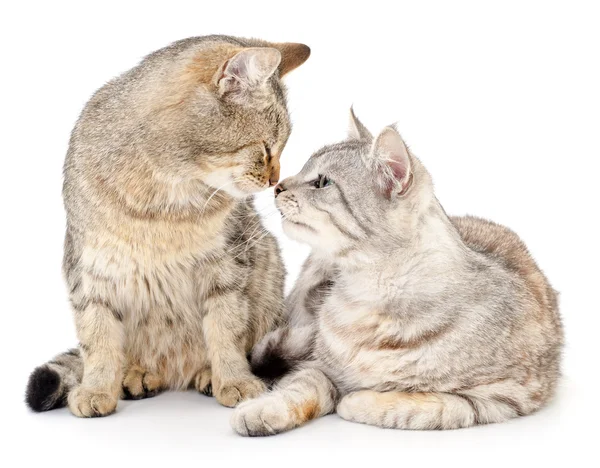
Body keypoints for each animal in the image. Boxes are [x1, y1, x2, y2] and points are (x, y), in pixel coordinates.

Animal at [23, 35, 310, 416]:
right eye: (265, 148)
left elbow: (226, 331)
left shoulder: (228, 267)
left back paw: (205, 374)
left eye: (281, 147)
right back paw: (137, 373)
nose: (275, 181)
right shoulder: (88, 271)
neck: (164, 198)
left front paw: (233, 380)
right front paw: (96, 388)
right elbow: (97, 340)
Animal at [231, 109, 564, 436]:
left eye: (322, 182)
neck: (365, 299)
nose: (277, 186)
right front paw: (263, 409)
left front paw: (356, 399)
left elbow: (420, 406)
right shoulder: (316, 365)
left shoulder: (502, 396)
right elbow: (301, 388)